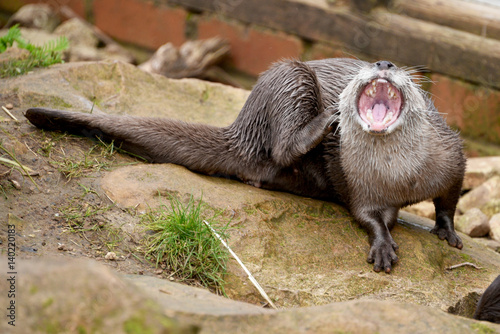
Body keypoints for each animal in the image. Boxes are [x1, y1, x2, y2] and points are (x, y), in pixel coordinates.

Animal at [26, 58, 464, 274]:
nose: (384, 63)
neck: (403, 177)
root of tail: (243, 124)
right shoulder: (358, 184)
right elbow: (368, 216)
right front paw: (383, 245)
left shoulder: (452, 156)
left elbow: (450, 198)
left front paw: (447, 232)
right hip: (290, 78)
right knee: (284, 146)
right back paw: (323, 122)